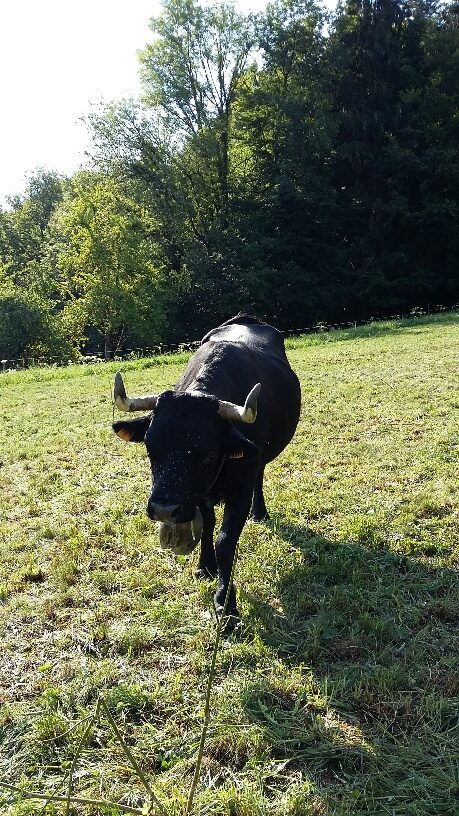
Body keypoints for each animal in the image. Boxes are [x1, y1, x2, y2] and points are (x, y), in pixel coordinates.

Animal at [113, 316, 302, 620]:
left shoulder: (240, 490)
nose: (164, 509)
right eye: (150, 447)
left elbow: (225, 542)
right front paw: (204, 566)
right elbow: (209, 524)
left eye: (208, 453)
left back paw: (259, 512)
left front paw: (226, 603)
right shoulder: (197, 495)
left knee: (260, 476)